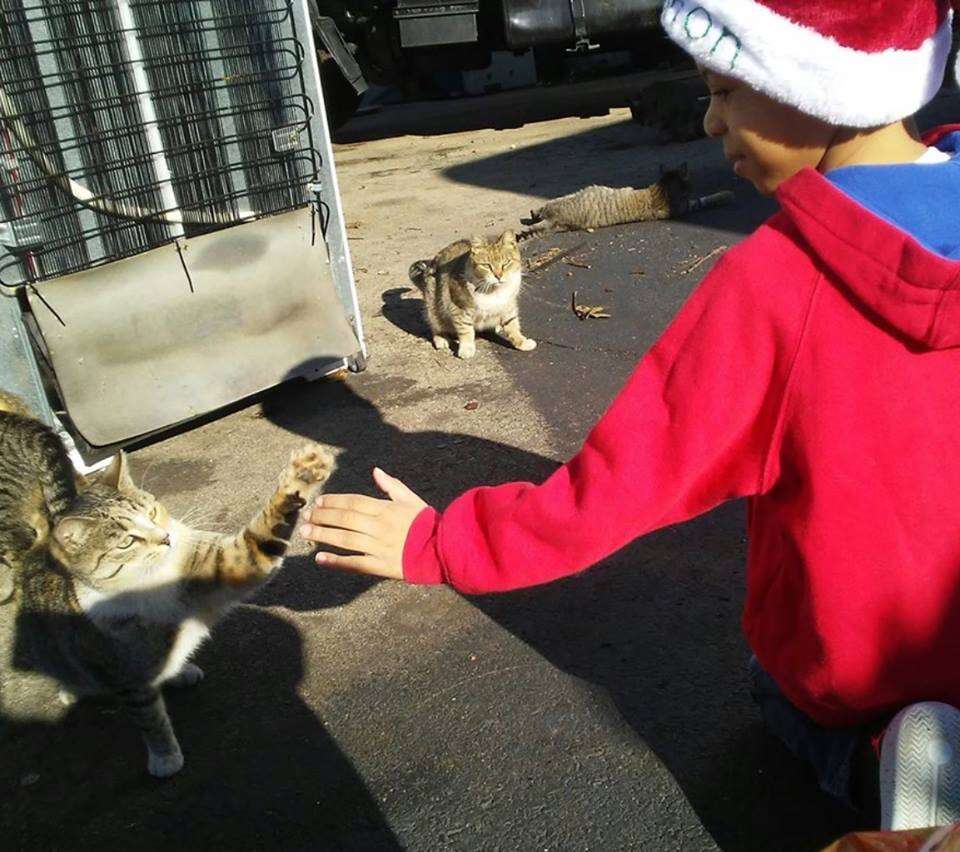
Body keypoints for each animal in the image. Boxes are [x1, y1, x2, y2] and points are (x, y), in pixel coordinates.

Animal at [0, 392, 332, 780]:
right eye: (127, 541)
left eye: (152, 512)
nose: (166, 538)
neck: (155, 583)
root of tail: (36, 549)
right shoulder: (129, 678)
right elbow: (150, 720)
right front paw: (164, 756)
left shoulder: (227, 564)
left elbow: (261, 538)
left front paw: (304, 474)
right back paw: (72, 689)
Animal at [408, 228, 536, 358]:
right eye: (487, 266)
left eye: (506, 263)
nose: (498, 276)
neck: (493, 290)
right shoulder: (458, 308)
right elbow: (465, 329)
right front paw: (466, 349)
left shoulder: (508, 306)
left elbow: (513, 325)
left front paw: (522, 342)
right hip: (433, 305)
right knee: (436, 325)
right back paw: (441, 339)